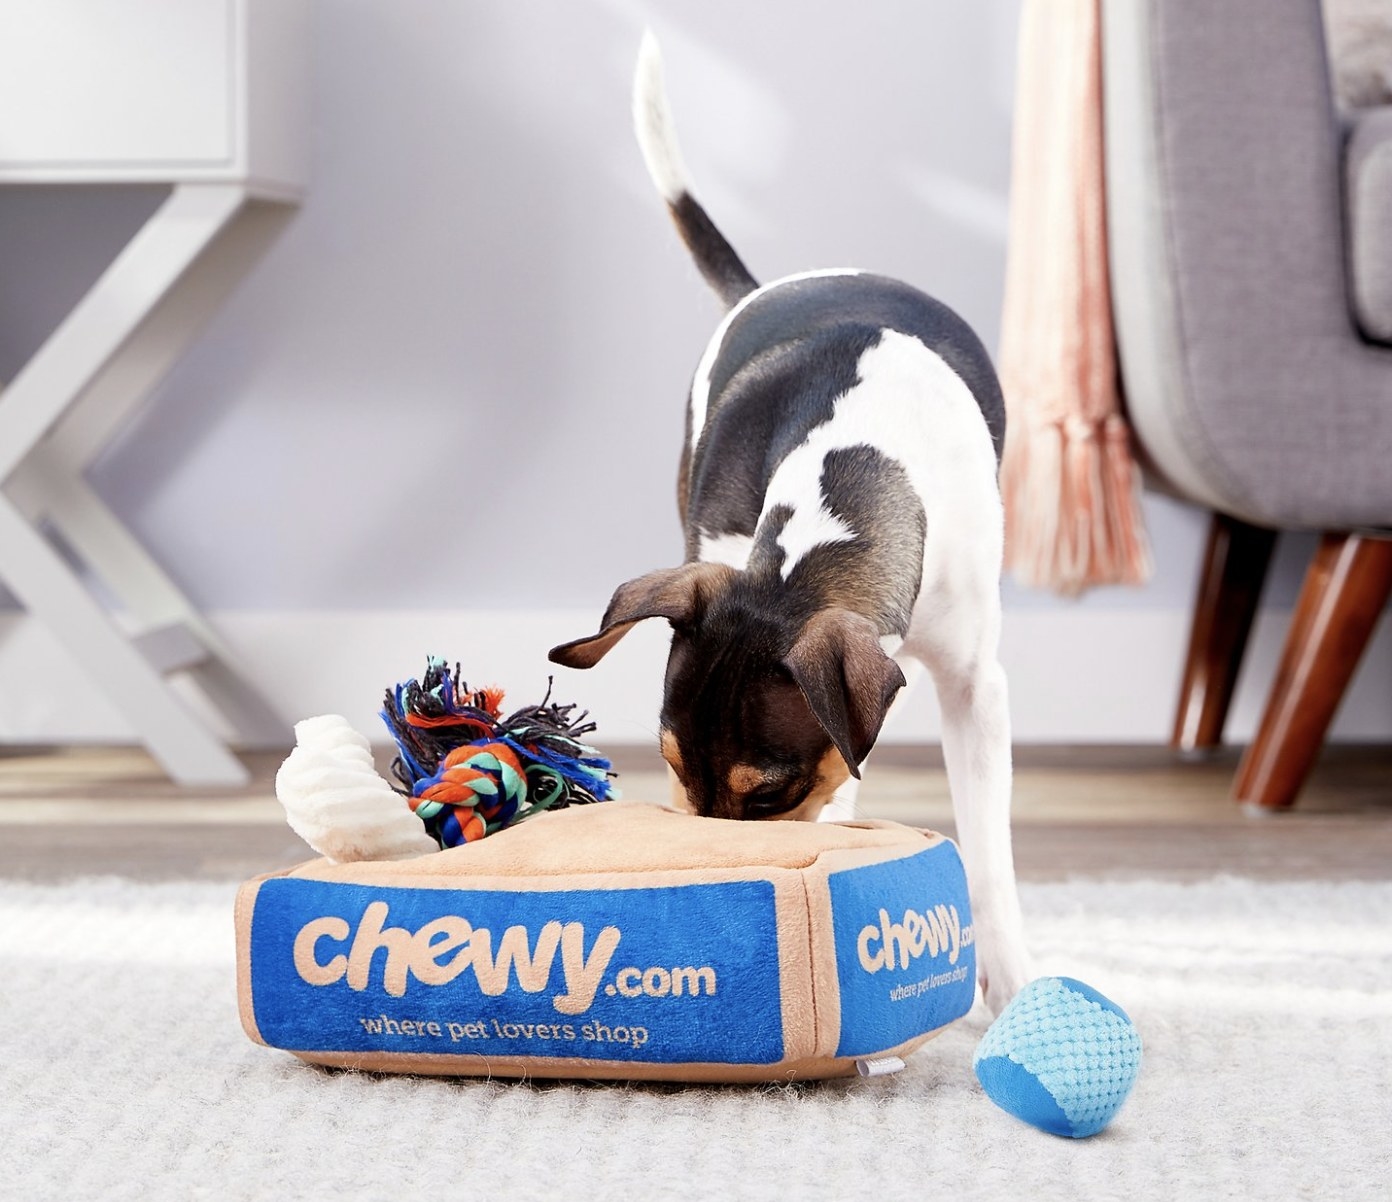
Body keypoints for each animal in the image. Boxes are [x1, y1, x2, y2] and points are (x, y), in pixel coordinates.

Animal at [548, 32, 1030, 1012]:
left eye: (766, 797)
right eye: (674, 768)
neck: (859, 461)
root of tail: (773, 283)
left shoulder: (976, 686)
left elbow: (991, 858)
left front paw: (1015, 985)